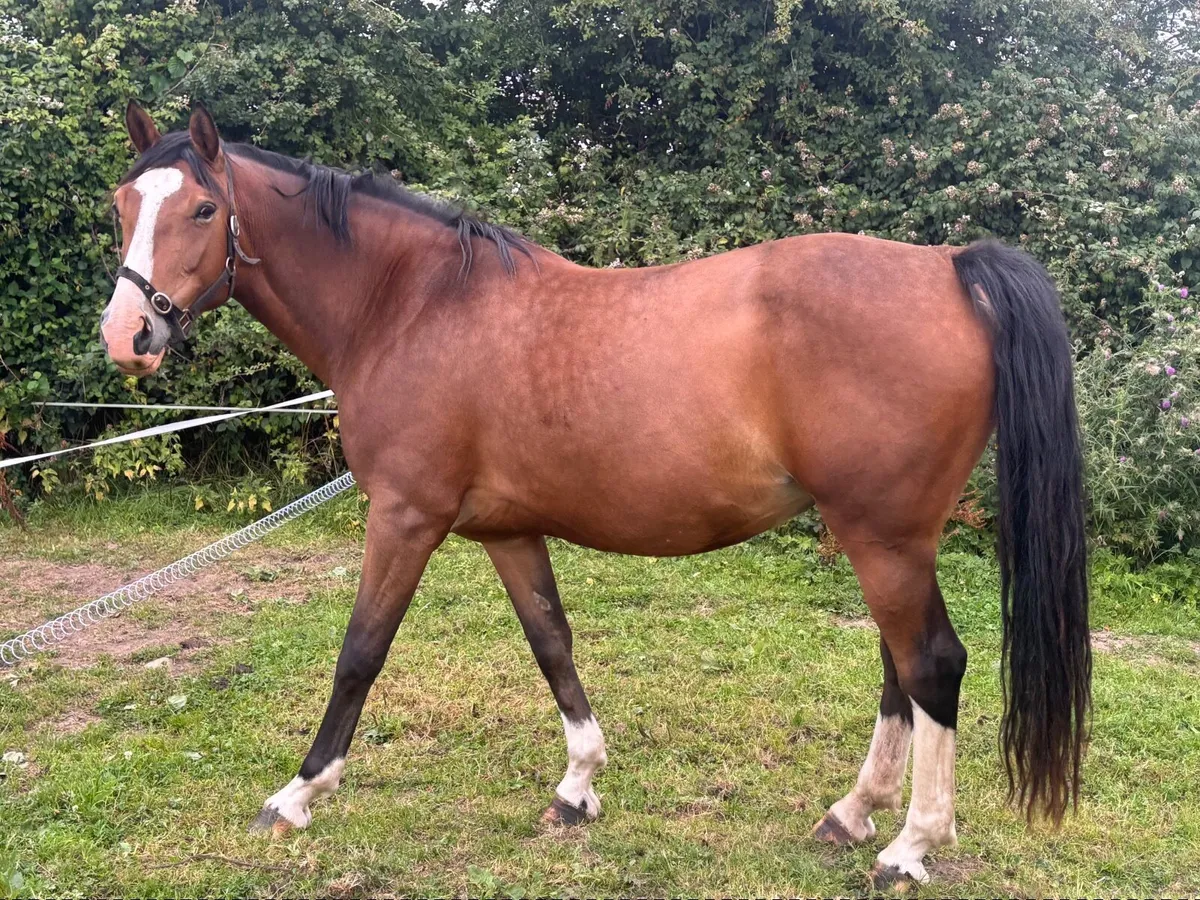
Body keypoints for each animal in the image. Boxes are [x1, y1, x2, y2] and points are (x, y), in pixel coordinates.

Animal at [99, 101, 1091, 887]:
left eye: (203, 208)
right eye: (122, 205)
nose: (128, 335)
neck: (412, 306)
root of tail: (950, 266)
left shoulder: (405, 517)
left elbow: (360, 654)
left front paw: (299, 793)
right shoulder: (506, 530)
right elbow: (552, 643)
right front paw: (577, 786)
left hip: (883, 535)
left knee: (933, 666)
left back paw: (909, 846)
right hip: (883, 535)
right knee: (900, 669)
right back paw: (852, 813)